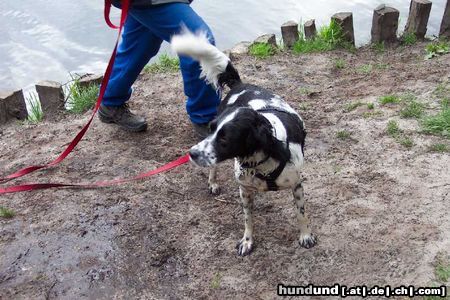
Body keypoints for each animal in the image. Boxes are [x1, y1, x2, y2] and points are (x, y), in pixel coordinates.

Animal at [172, 31, 316, 255]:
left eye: (225, 137)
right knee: (213, 168)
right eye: (212, 129)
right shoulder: (245, 190)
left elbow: (302, 214)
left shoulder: (296, 185)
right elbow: (248, 220)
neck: (263, 161)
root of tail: (240, 84)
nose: (192, 153)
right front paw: (247, 241)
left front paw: (305, 236)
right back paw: (213, 183)